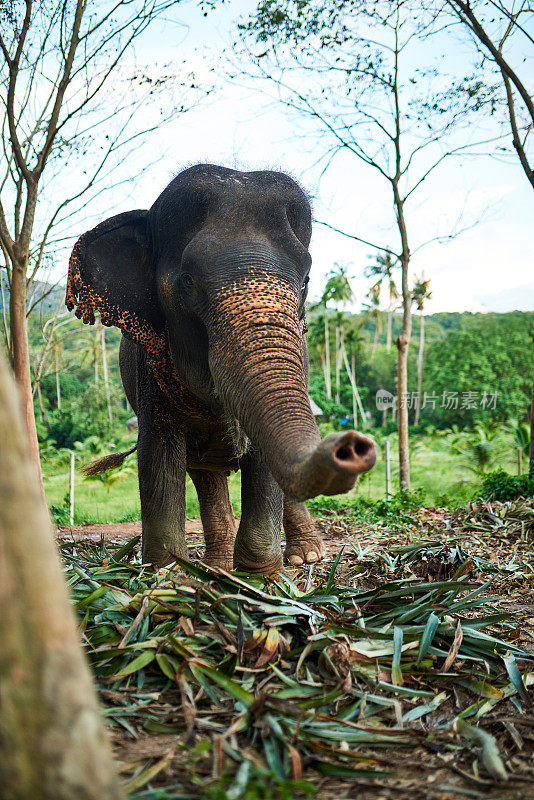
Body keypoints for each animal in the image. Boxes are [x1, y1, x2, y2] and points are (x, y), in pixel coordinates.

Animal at [66, 166, 376, 572]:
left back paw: (304, 556)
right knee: (205, 475)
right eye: (188, 282)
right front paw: (166, 571)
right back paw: (218, 566)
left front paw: (264, 576)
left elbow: (264, 460)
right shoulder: (149, 368)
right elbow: (159, 455)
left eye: (306, 281)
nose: (351, 445)